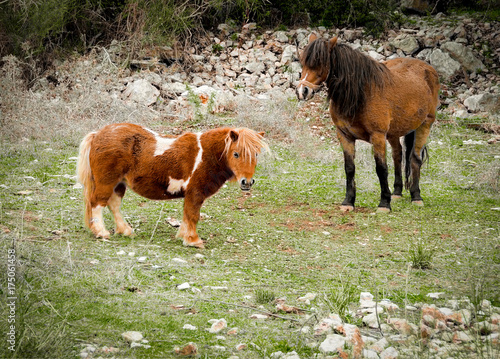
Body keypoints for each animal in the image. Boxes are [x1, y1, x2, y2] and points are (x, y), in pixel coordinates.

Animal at [76, 123, 268, 248]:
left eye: (256, 154)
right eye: (236, 154)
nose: (247, 182)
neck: (207, 155)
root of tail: (97, 134)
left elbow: (187, 216)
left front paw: (183, 236)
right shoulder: (195, 193)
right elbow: (192, 216)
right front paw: (193, 240)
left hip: (118, 184)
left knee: (113, 205)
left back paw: (125, 231)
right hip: (106, 182)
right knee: (97, 204)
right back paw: (101, 232)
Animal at [294, 33, 440, 214]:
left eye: (321, 63)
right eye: (302, 61)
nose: (302, 91)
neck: (361, 93)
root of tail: (428, 69)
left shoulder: (377, 136)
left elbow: (381, 169)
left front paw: (384, 203)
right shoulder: (345, 136)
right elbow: (349, 168)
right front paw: (348, 201)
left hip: (425, 125)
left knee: (414, 158)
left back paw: (416, 196)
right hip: (394, 132)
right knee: (398, 155)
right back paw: (397, 192)